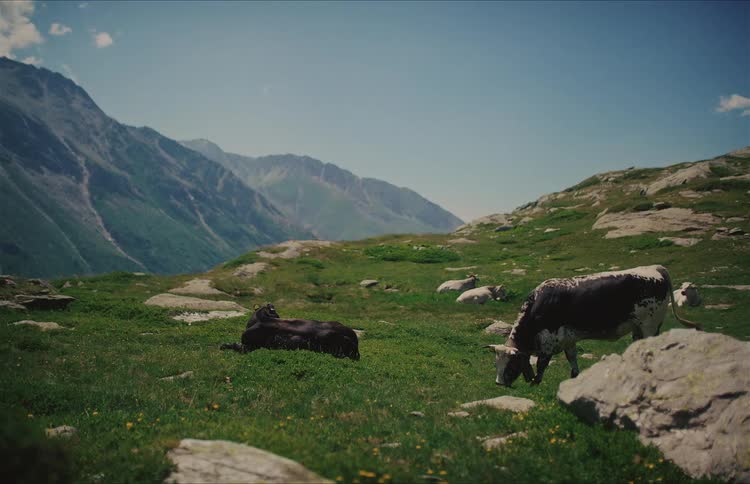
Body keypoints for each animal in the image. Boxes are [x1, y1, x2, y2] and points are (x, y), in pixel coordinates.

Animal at [486, 265, 701, 387]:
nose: (499, 384)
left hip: (649, 324)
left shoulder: (549, 341)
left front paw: (535, 383)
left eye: (511, 364)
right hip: (638, 327)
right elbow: (572, 359)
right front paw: (575, 377)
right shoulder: (568, 339)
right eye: (496, 364)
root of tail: (655, 269)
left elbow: (541, 364)